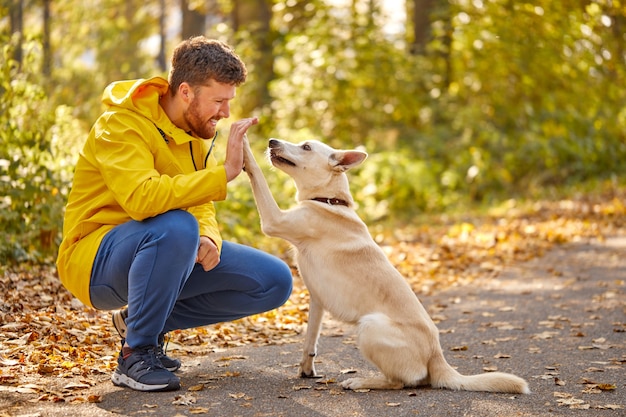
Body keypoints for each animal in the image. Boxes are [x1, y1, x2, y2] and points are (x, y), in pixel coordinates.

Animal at [241, 137, 528, 394]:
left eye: (306, 147)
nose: (272, 141)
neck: (329, 200)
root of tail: (437, 357)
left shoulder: (273, 220)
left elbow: (256, 173)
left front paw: (242, 144)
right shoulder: (317, 300)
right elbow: (310, 339)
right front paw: (306, 369)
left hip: (369, 327)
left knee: (401, 382)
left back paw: (361, 382)